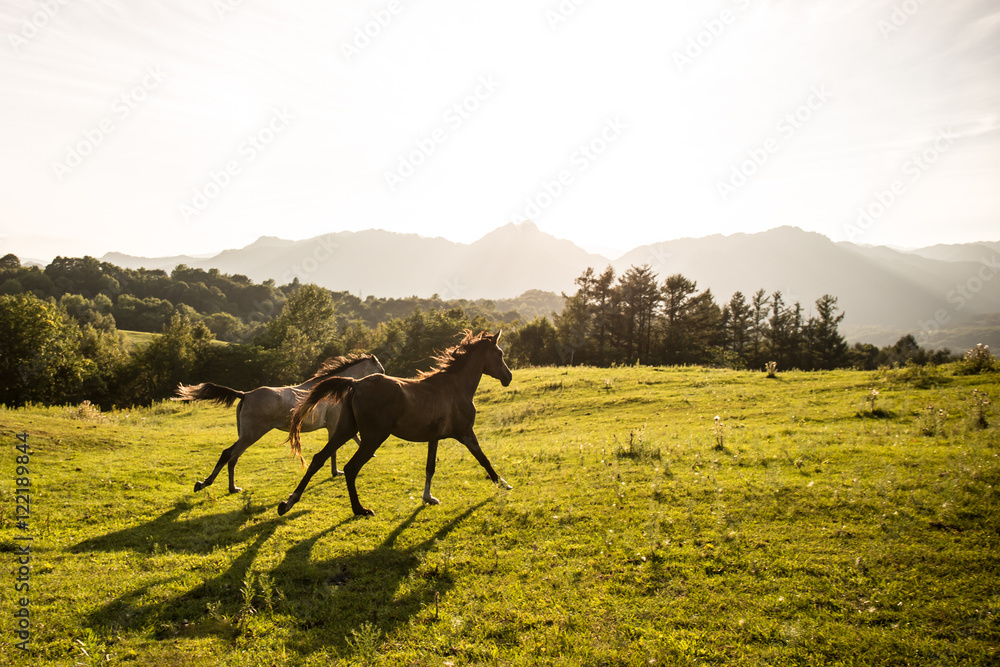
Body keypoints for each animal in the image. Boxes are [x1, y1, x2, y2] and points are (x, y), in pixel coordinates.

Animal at [174, 354, 384, 494]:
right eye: (381, 370)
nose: (386, 378)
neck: (334, 388)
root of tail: (245, 394)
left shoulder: (333, 426)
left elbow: (341, 445)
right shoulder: (335, 425)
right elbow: (338, 447)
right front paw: (339, 470)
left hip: (246, 435)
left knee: (233, 457)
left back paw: (232, 488)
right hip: (252, 434)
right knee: (228, 454)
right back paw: (205, 483)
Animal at [277, 330, 513, 517]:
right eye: (500, 354)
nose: (508, 377)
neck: (455, 387)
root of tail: (356, 383)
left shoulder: (434, 438)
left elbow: (430, 467)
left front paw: (428, 498)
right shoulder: (466, 433)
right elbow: (484, 459)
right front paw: (504, 484)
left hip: (346, 429)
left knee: (319, 459)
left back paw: (288, 503)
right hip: (373, 437)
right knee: (351, 468)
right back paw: (360, 510)